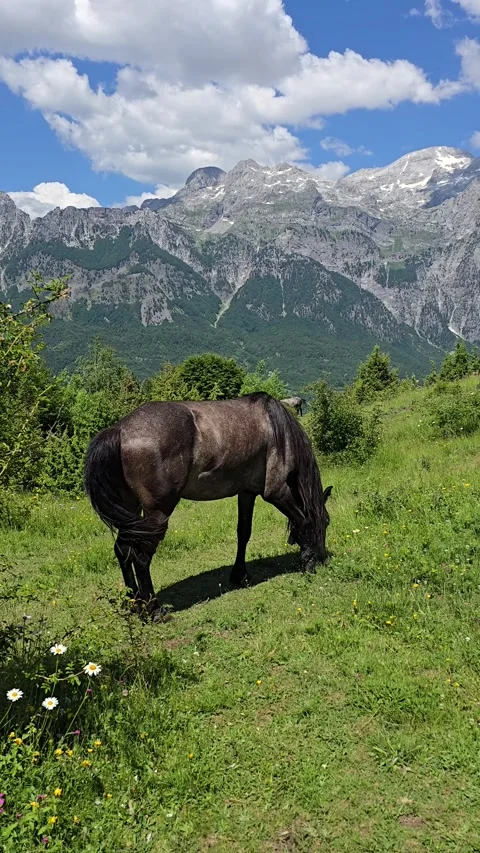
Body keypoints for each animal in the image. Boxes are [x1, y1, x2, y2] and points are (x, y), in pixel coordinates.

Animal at [84, 392, 332, 621]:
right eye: (328, 523)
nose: (323, 558)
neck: (278, 429)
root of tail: (119, 430)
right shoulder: (276, 491)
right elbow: (303, 520)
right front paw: (308, 561)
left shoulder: (247, 492)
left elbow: (244, 532)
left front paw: (240, 575)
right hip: (158, 512)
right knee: (140, 555)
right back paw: (154, 610)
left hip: (132, 512)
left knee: (123, 550)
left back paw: (134, 603)